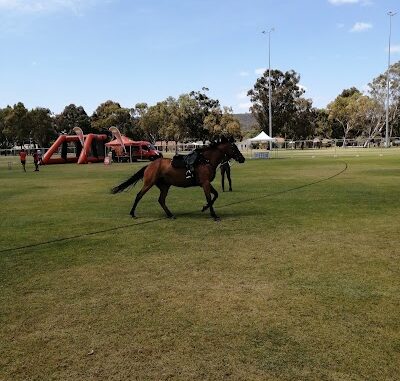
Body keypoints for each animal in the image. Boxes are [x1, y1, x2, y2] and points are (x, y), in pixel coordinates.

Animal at [111, 140, 245, 220]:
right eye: (234, 148)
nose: (242, 159)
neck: (206, 160)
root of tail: (150, 165)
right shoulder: (205, 183)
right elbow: (210, 198)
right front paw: (213, 215)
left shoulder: (205, 183)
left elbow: (215, 195)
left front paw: (205, 208)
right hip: (149, 183)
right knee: (139, 195)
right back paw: (132, 213)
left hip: (165, 186)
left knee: (161, 200)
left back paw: (170, 215)